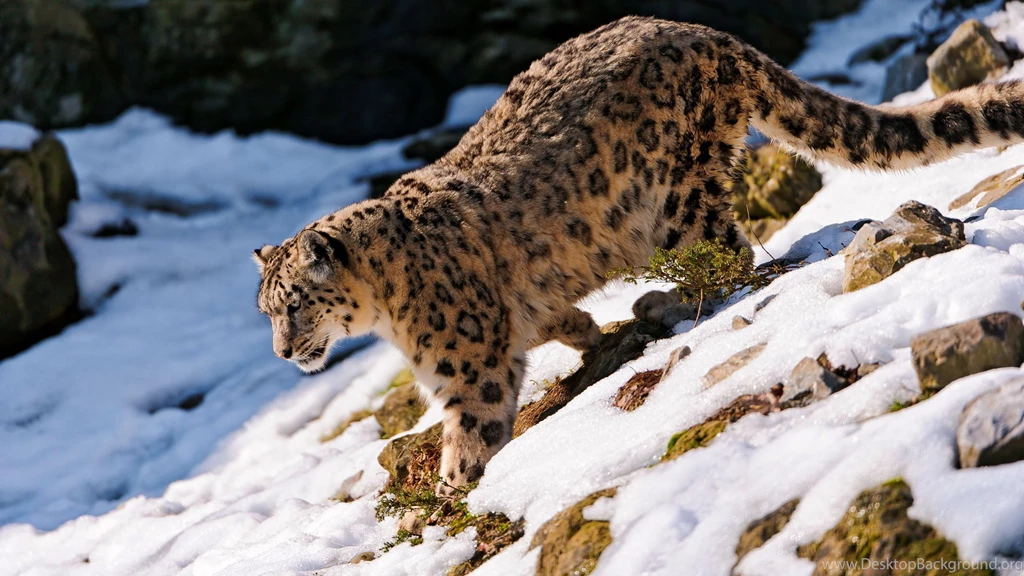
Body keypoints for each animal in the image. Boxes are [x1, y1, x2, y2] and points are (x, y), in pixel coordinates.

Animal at [255, 16, 1024, 494]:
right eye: (267, 311)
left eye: (296, 304)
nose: (284, 352)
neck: (387, 310)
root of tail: (704, 32)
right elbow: (551, 317)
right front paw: (583, 331)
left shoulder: (467, 367)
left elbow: (473, 429)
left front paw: (453, 492)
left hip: (678, 200)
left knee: (730, 256)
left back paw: (666, 300)